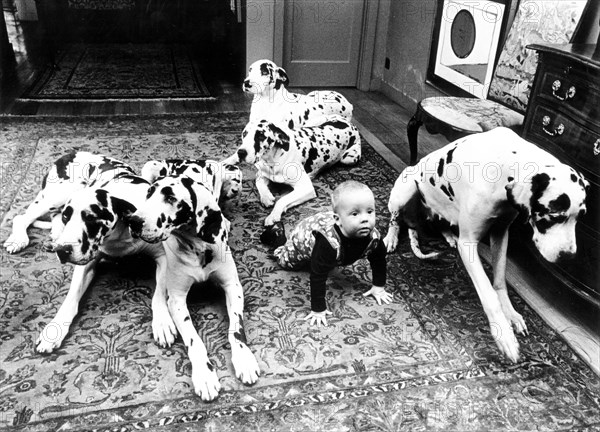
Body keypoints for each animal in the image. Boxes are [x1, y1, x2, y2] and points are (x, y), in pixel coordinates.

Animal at [2, 151, 177, 352]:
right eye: (67, 216)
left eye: (92, 218)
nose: (62, 250)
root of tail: (71, 153)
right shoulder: (84, 265)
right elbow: (70, 299)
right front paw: (54, 329)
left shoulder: (163, 258)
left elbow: (159, 294)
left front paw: (162, 322)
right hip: (55, 197)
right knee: (22, 217)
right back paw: (20, 239)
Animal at [127, 173, 258, 402]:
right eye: (149, 194)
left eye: (171, 198)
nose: (134, 221)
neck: (199, 247)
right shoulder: (177, 300)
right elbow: (193, 340)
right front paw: (205, 375)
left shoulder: (233, 287)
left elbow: (236, 328)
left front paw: (244, 359)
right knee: (159, 295)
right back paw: (162, 324)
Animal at [226, 116, 360, 226]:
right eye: (245, 134)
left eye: (261, 136)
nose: (241, 152)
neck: (273, 160)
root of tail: (348, 122)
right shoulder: (262, 173)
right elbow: (258, 182)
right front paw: (266, 197)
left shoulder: (306, 188)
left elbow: (282, 200)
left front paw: (273, 215)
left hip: (349, 158)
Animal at [382, 126, 588, 362]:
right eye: (554, 214)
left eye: (581, 215)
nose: (568, 256)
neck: (503, 162)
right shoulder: (469, 244)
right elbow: (488, 294)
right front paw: (504, 334)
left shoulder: (500, 233)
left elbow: (499, 281)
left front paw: (511, 314)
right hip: (405, 189)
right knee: (395, 219)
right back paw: (391, 237)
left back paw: (449, 235)